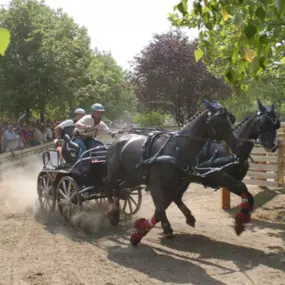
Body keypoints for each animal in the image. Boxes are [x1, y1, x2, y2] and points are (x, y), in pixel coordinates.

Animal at [104, 99, 240, 244]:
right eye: (219, 121)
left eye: (230, 119)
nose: (236, 144)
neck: (177, 148)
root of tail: (117, 141)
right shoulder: (154, 185)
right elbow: (160, 209)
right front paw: (144, 231)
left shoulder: (175, 184)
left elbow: (165, 205)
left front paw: (180, 220)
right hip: (114, 173)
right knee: (109, 187)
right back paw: (112, 213)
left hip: (132, 177)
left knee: (120, 189)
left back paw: (116, 213)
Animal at [158, 98, 280, 236]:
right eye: (265, 121)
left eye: (277, 124)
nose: (273, 145)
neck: (232, 152)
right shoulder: (222, 178)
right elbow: (245, 192)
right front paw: (239, 222)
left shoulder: (232, 182)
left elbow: (249, 197)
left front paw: (243, 219)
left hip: (184, 180)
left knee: (174, 198)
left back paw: (187, 219)